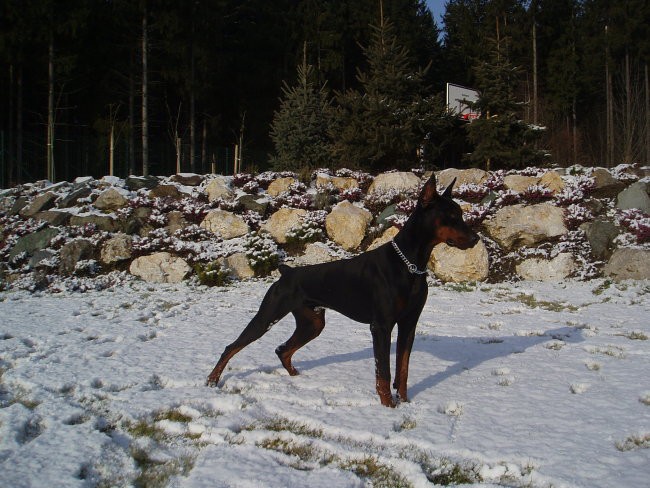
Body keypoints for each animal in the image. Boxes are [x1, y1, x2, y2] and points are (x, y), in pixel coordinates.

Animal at [205, 173, 478, 406]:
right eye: (451, 216)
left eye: (460, 214)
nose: (475, 239)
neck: (410, 265)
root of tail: (287, 272)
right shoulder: (381, 326)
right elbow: (384, 371)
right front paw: (388, 406)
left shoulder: (409, 324)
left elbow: (403, 369)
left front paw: (405, 402)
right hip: (268, 315)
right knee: (232, 347)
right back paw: (212, 380)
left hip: (313, 323)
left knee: (282, 350)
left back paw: (296, 376)